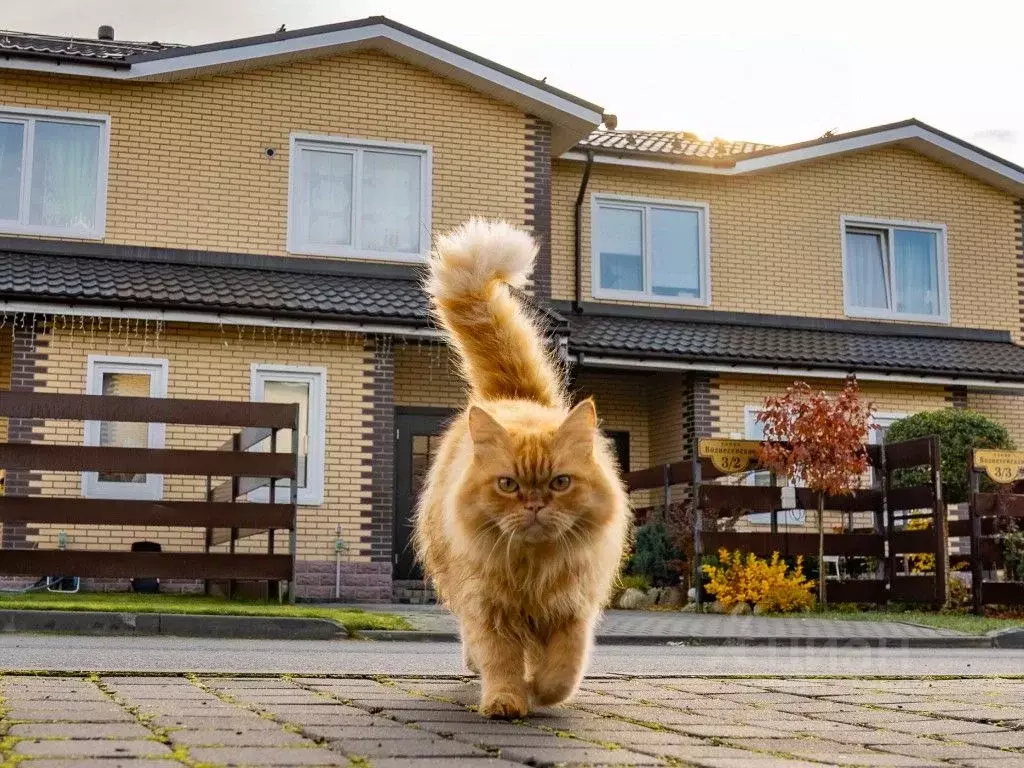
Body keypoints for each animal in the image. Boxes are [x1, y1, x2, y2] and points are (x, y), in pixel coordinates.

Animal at [411, 218, 626, 720]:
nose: (534, 505)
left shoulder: (572, 609)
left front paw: (539, 692)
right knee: (473, 644)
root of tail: (513, 398)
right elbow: (501, 660)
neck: (532, 568)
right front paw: (507, 701)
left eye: (560, 483)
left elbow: (562, 671)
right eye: (508, 485)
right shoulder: (489, 607)